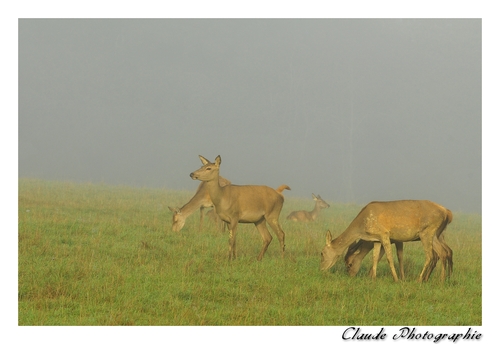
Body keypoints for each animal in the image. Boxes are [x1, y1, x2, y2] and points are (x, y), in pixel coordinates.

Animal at [320, 199, 454, 282]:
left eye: (322, 253)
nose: (321, 269)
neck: (362, 227)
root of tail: (448, 213)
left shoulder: (385, 234)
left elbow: (390, 257)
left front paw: (397, 279)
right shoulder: (377, 239)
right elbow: (375, 257)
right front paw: (373, 278)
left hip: (427, 232)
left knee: (431, 255)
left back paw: (421, 279)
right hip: (435, 235)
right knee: (444, 252)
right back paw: (443, 279)